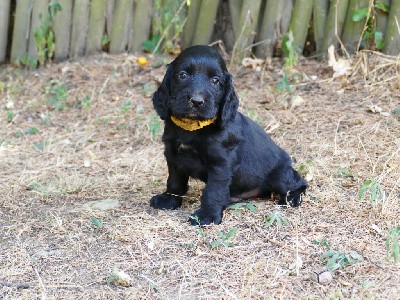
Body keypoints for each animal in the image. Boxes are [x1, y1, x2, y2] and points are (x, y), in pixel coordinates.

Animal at [150, 45, 306, 225]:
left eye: (215, 80)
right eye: (182, 75)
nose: (196, 101)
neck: (193, 128)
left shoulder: (221, 165)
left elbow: (214, 191)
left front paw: (208, 215)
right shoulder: (173, 156)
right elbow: (174, 181)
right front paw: (169, 200)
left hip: (280, 175)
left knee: (299, 182)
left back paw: (292, 198)